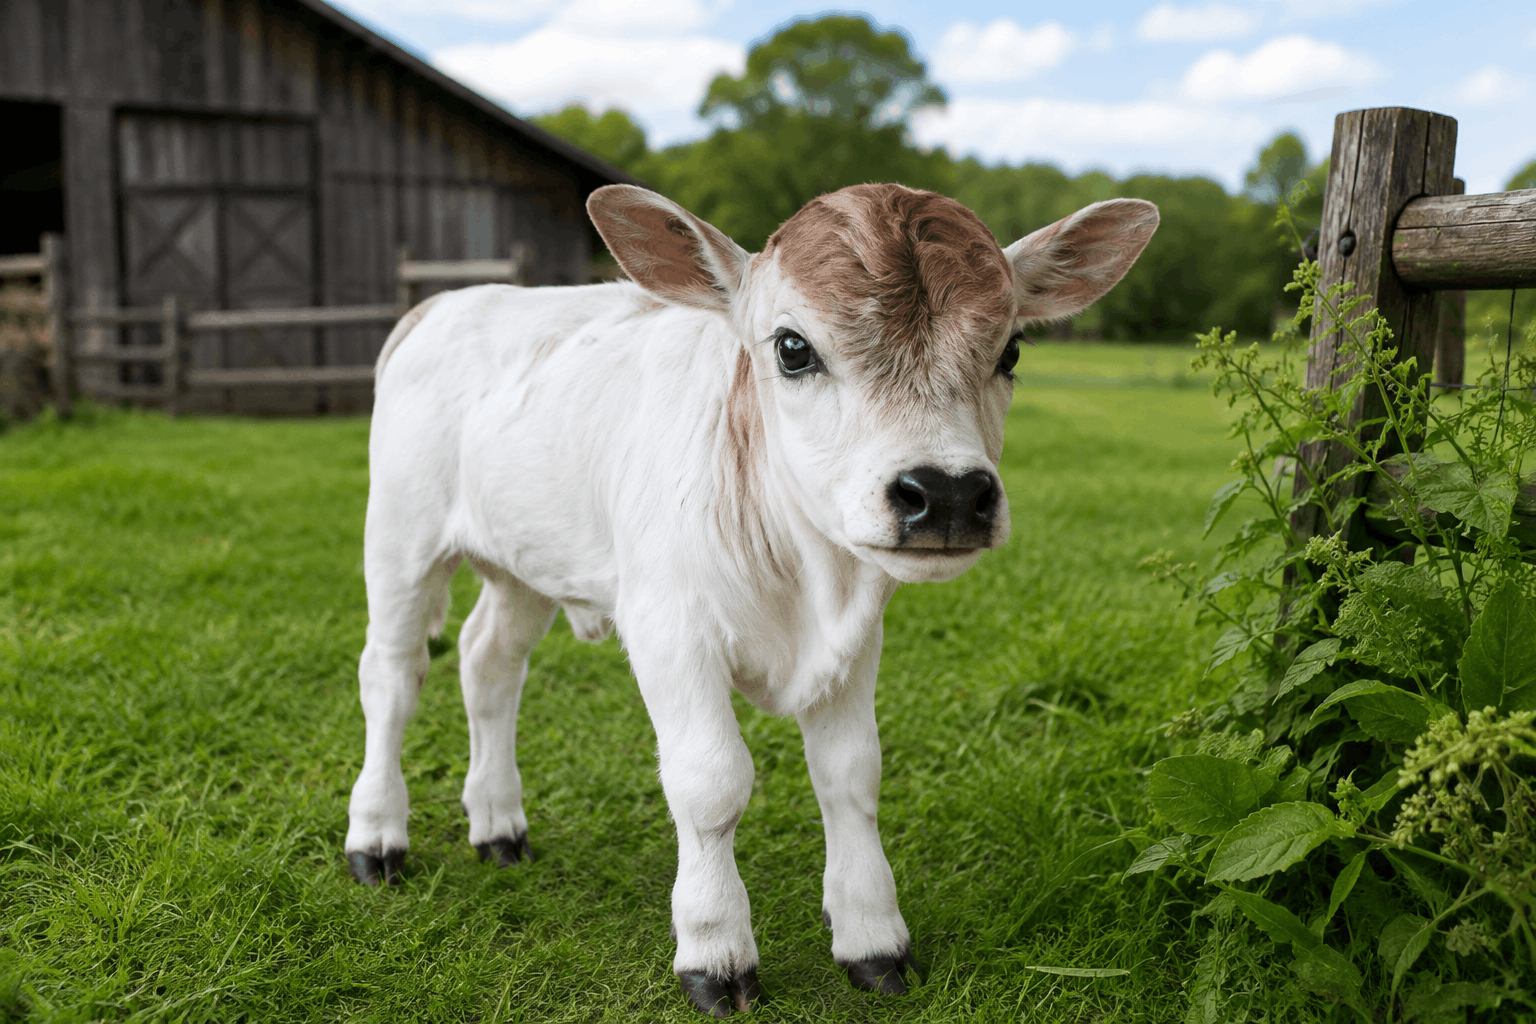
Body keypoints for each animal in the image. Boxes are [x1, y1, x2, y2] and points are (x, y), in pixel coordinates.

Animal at [344, 183, 1157, 1016]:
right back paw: (376, 837)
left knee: (488, 665)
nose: (949, 493)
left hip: (527, 565)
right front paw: (715, 950)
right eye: (792, 348)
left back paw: (498, 825)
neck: (808, 580)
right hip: (401, 540)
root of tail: (448, 302)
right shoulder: (668, 628)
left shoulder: (856, 644)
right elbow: (712, 783)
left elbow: (851, 775)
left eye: (1012, 351)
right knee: (393, 675)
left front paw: (873, 938)